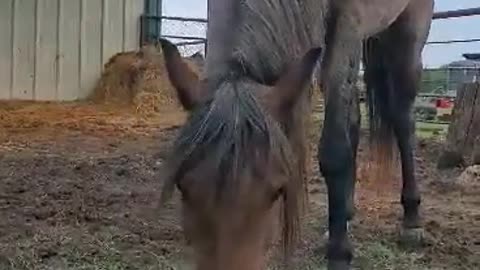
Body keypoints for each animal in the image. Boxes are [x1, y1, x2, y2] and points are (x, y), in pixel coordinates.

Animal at [160, 0, 436, 270]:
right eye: (182, 186)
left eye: (278, 190)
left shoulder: (347, 28)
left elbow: (335, 154)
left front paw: (339, 254)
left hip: (408, 31)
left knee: (402, 119)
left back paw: (411, 220)